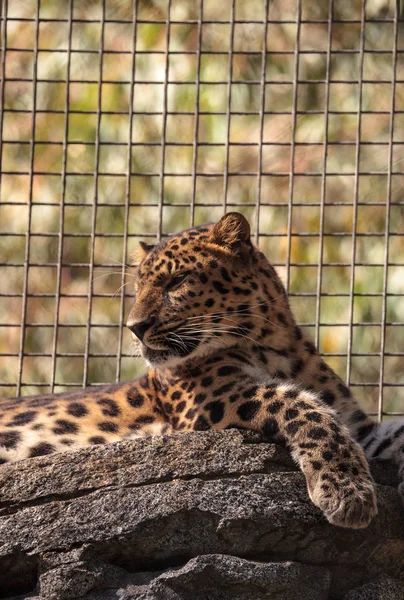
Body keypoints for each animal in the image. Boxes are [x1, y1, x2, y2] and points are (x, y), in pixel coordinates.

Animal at [0, 212, 404, 528]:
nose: (135, 327)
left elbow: (390, 431)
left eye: (178, 281)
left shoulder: (360, 428)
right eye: (138, 288)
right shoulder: (214, 400)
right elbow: (302, 406)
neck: (277, 346)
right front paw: (345, 491)